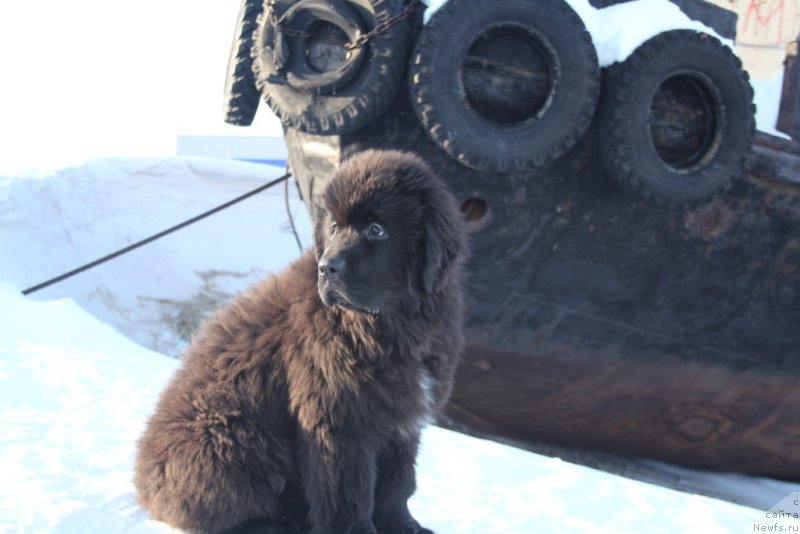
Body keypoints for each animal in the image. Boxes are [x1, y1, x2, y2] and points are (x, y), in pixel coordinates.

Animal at [134, 151, 466, 534]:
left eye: (376, 230)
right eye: (334, 226)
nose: (327, 267)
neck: (389, 324)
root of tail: (143, 479)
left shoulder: (402, 415)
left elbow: (398, 482)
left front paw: (405, 526)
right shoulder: (339, 419)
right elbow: (349, 490)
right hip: (232, 436)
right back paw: (275, 525)